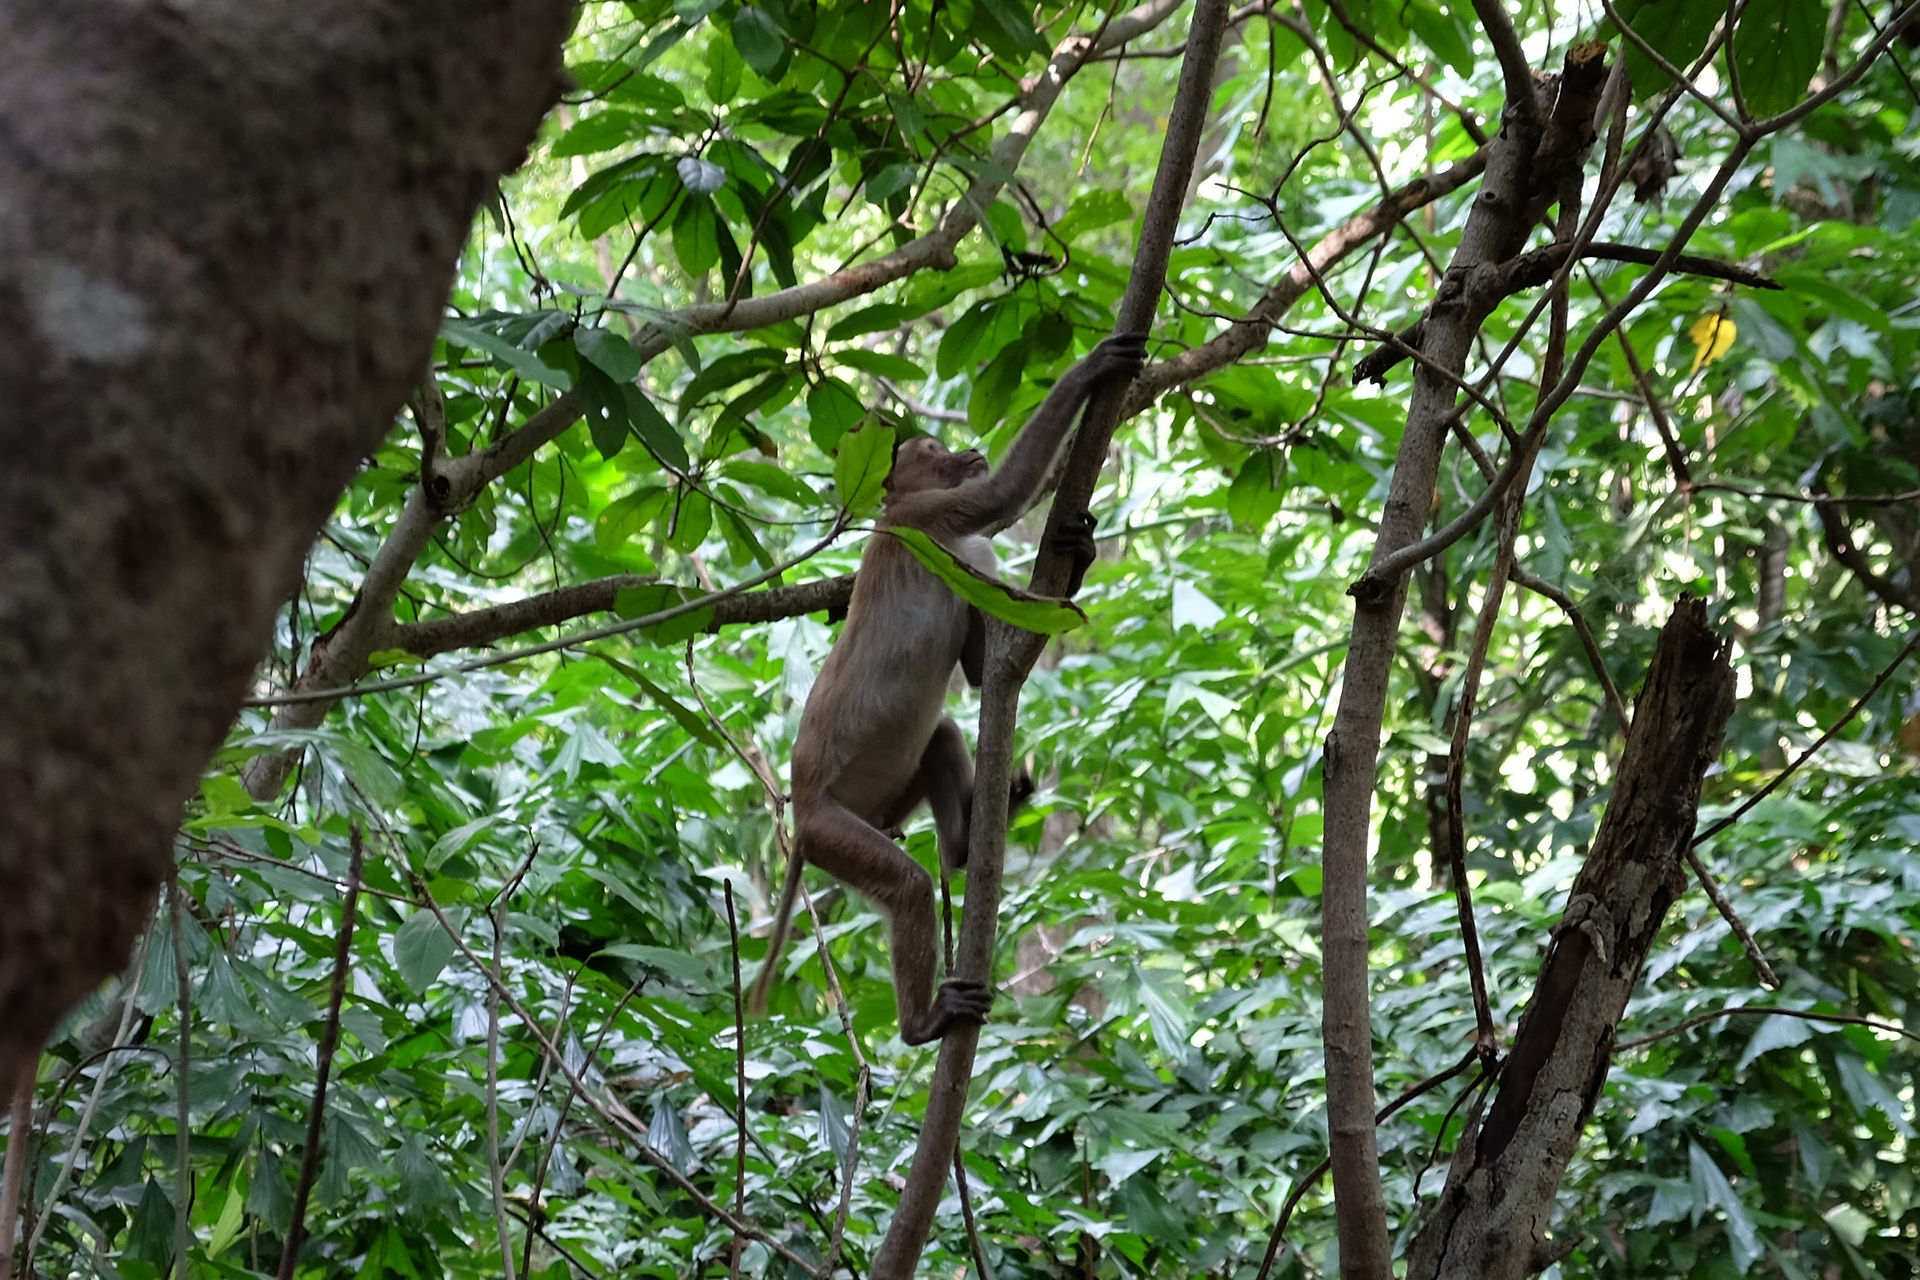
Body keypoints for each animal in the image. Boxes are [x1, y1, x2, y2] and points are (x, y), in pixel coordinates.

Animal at [747, 333, 1147, 1043]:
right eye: (932, 452)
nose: (965, 451)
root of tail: (800, 807)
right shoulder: (934, 519)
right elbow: (1005, 495)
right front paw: (1094, 366)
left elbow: (988, 671)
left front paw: (1079, 547)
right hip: (835, 832)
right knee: (906, 886)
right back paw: (924, 1022)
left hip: (880, 808)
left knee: (939, 733)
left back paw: (963, 848)